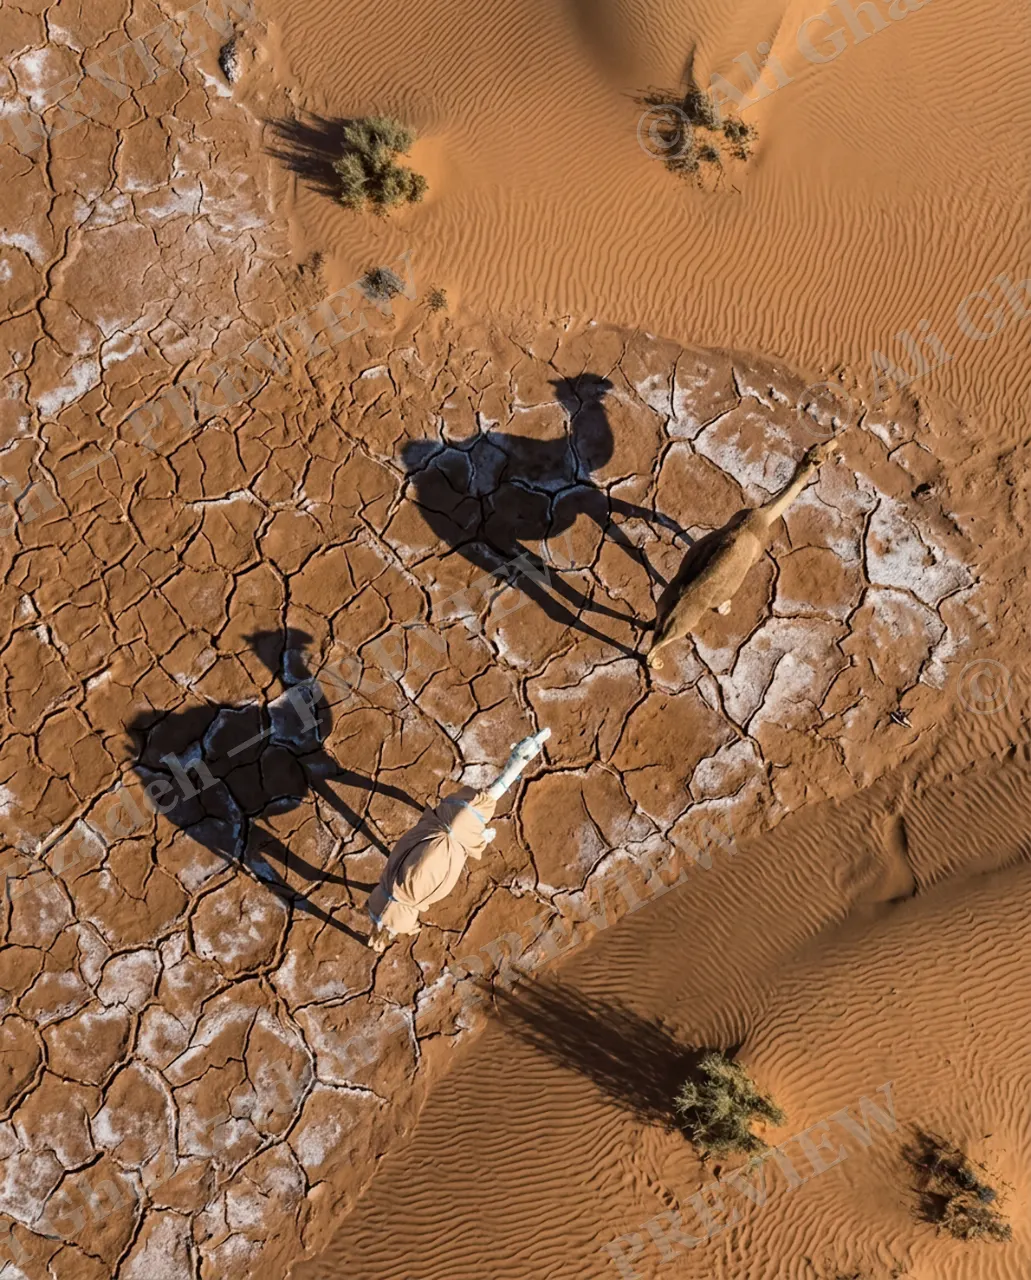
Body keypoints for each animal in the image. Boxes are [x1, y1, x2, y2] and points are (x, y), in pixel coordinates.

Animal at [645, 437, 842, 670]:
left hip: (662, 605)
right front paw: (725, 608)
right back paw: (657, 663)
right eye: (822, 458)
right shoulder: (757, 553)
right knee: (653, 649)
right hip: (682, 626)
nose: (835, 443)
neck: (763, 515)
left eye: (819, 447)